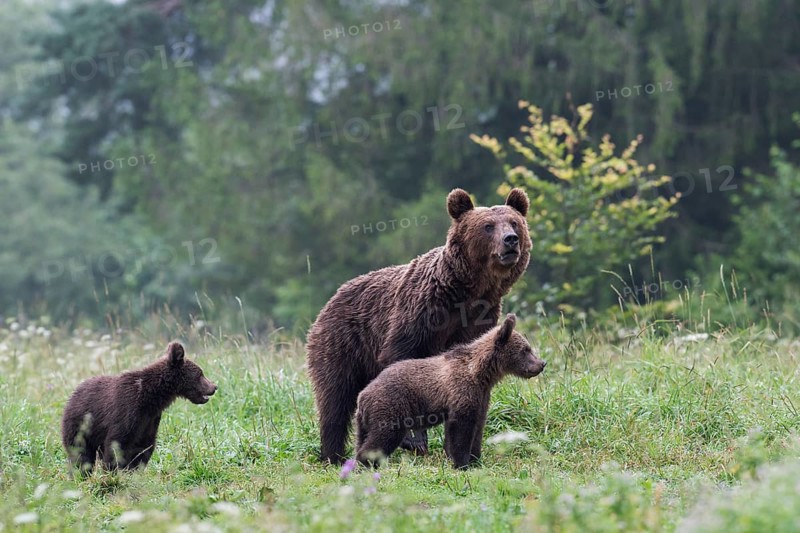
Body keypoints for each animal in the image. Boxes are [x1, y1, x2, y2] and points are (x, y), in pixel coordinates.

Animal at [61, 341, 217, 473]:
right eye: (201, 374)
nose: (214, 386)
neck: (150, 397)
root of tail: (71, 395)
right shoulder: (127, 409)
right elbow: (116, 444)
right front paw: (112, 473)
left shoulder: (149, 420)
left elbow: (143, 448)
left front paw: (133, 472)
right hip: (81, 425)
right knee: (80, 454)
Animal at [306, 187, 532, 464]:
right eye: (488, 226)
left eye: (514, 222)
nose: (511, 240)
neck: (467, 293)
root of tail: (333, 297)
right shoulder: (417, 316)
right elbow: (403, 364)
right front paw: (414, 440)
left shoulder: (479, 320)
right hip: (343, 343)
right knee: (334, 398)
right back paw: (332, 453)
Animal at [355, 313, 545, 469]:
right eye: (526, 350)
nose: (541, 364)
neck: (481, 374)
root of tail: (363, 396)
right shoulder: (461, 392)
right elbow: (460, 431)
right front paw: (462, 463)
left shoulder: (482, 396)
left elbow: (478, 427)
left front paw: (475, 458)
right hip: (391, 407)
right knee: (383, 437)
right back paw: (366, 463)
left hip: (365, 421)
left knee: (364, 438)